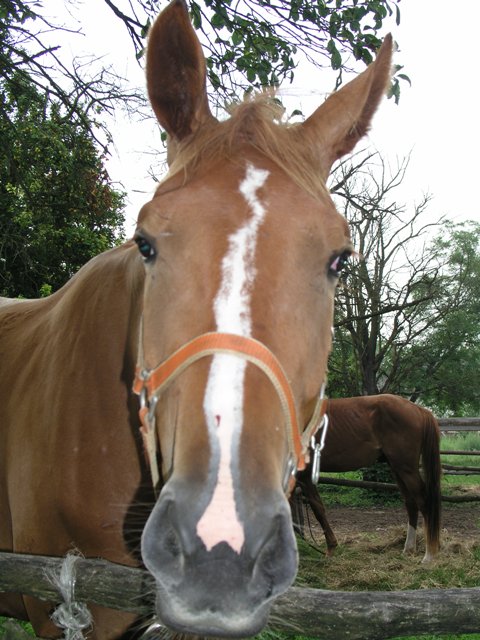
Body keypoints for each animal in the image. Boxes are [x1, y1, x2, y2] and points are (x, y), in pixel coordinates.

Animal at [296, 392, 442, 564]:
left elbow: (317, 509)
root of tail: (419, 409)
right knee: (411, 503)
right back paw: (408, 549)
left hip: (407, 468)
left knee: (423, 502)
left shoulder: (304, 475)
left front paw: (331, 548)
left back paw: (429, 556)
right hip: (397, 468)